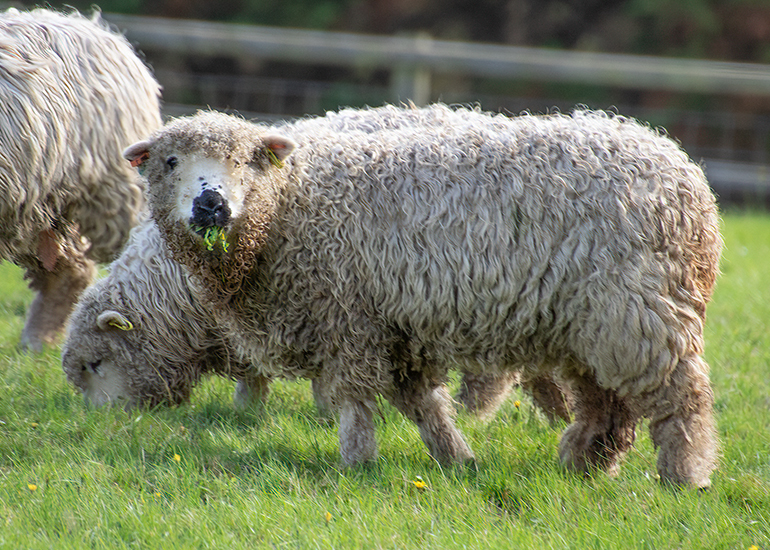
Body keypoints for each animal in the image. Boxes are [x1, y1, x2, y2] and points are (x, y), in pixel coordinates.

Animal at [124, 104, 721, 488]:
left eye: (246, 159)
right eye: (171, 162)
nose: (212, 205)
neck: (291, 209)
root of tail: (687, 180)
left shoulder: (351, 319)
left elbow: (357, 402)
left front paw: (355, 463)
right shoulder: (396, 330)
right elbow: (422, 405)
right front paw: (457, 460)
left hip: (638, 313)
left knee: (681, 396)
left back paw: (685, 475)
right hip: (593, 323)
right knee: (607, 400)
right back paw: (585, 463)